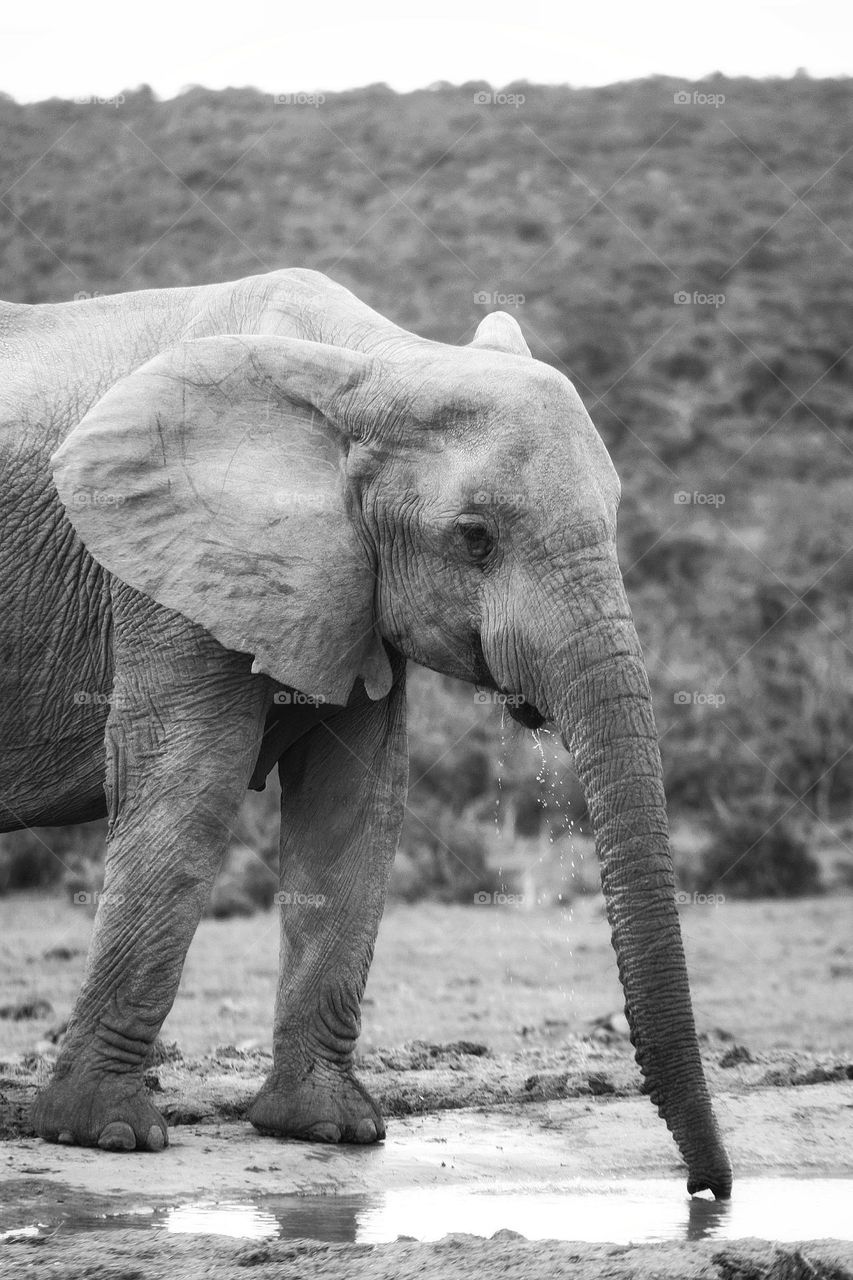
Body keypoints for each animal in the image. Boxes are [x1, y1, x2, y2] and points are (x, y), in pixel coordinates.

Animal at [0, 267, 732, 1198]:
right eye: (475, 538)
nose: (706, 1191)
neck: (375, 366)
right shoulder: (171, 567)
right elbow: (187, 792)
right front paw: (104, 1135)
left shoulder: (347, 583)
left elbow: (353, 808)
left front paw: (328, 1128)